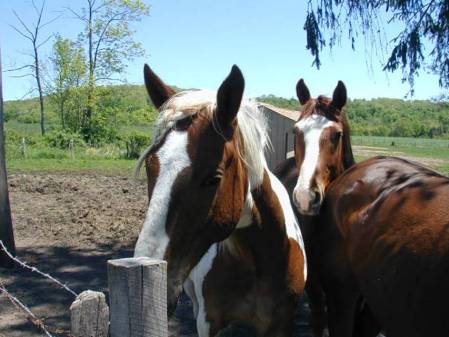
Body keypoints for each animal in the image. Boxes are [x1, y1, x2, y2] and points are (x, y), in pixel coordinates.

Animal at [133, 64, 306, 336]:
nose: (156, 288)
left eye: (213, 178)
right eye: (151, 168)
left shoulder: (280, 325)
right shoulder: (209, 321)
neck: (260, 260)